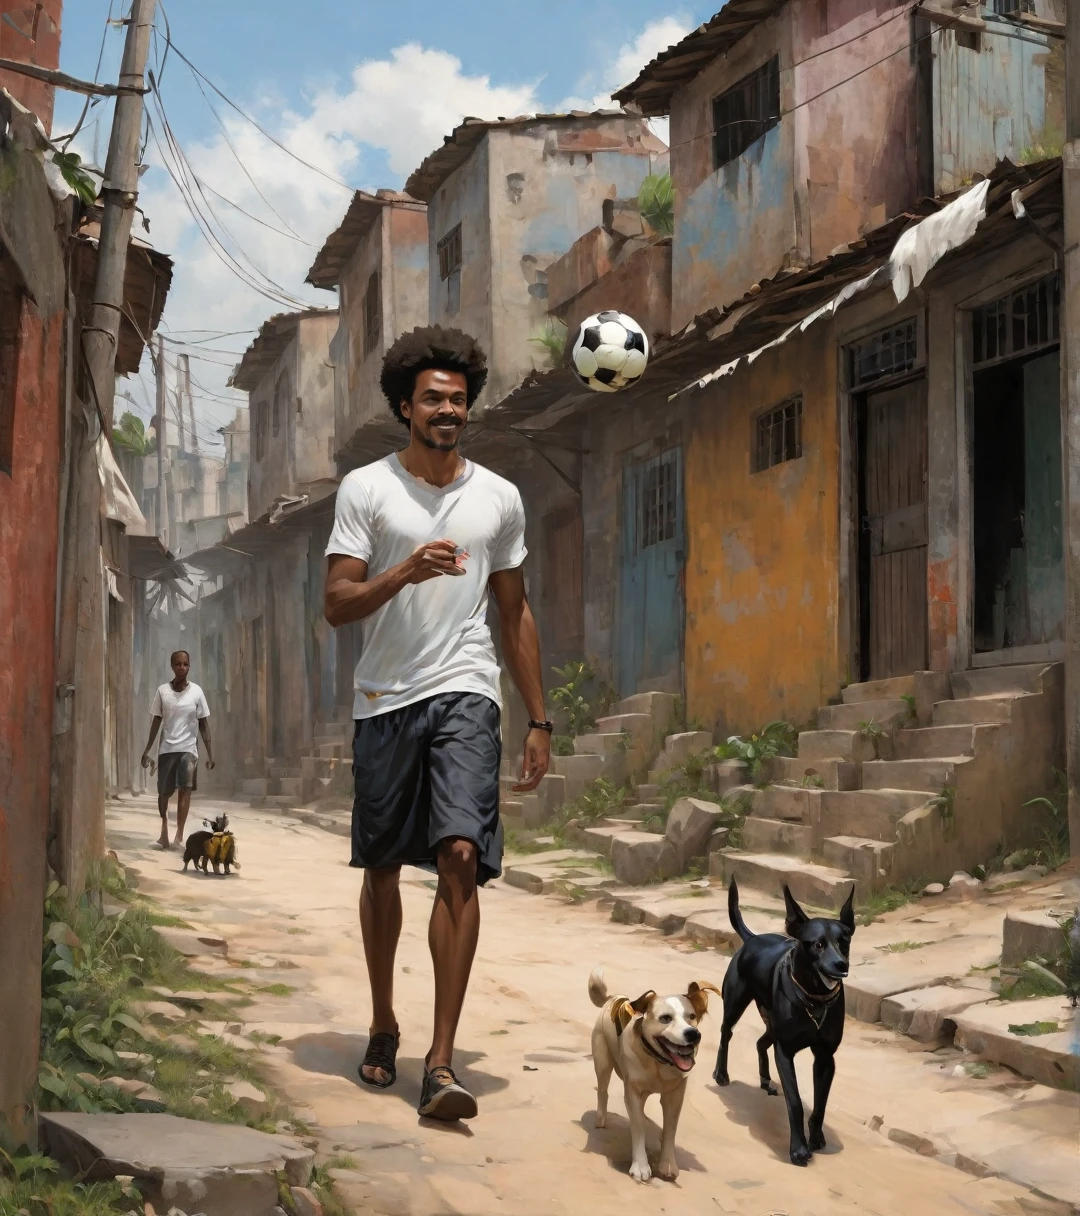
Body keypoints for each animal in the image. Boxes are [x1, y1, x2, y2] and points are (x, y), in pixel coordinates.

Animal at [586, 963, 720, 1181]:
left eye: (691, 1017)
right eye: (665, 1018)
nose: (693, 1034)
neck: (659, 1062)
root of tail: (613, 997)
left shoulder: (675, 1095)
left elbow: (670, 1129)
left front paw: (667, 1163)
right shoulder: (633, 1091)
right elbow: (638, 1127)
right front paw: (640, 1166)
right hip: (602, 1062)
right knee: (603, 1091)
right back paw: (600, 1120)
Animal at [715, 880, 856, 1162]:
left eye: (844, 942)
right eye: (818, 945)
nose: (842, 964)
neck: (815, 998)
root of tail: (752, 938)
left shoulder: (825, 1058)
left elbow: (820, 1105)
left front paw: (816, 1138)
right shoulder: (785, 1053)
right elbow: (795, 1103)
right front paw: (799, 1149)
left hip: (771, 1023)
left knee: (760, 1043)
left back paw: (766, 1080)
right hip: (735, 1005)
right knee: (726, 1034)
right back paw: (721, 1074)